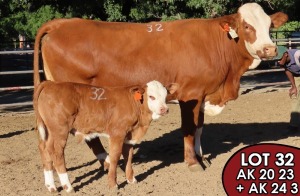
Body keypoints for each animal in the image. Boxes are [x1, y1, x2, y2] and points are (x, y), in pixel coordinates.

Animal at [33, 3, 288, 172]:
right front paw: (192, 162)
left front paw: (201, 155)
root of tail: (63, 23)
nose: (269, 49)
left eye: (269, 26)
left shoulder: (203, 93)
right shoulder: (190, 94)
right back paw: (107, 161)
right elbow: (189, 128)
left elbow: (199, 128)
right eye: (247, 26)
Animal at [33, 80, 178, 192]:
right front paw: (113, 184)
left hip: (49, 131)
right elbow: (114, 157)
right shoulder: (117, 134)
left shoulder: (129, 136)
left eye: (166, 96)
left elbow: (129, 156)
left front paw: (131, 180)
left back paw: (51, 186)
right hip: (60, 130)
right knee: (56, 152)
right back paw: (68, 187)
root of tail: (50, 83)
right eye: (151, 96)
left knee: (44, 149)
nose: (164, 109)